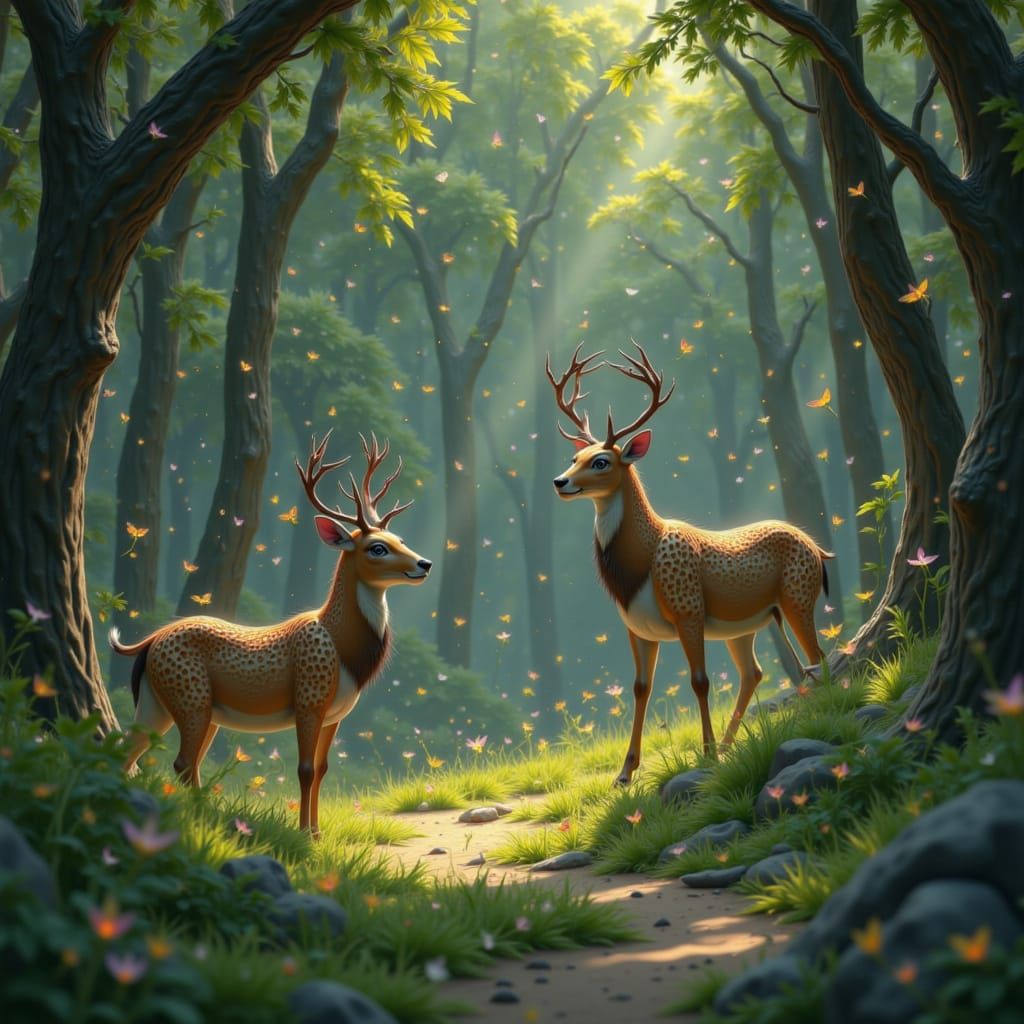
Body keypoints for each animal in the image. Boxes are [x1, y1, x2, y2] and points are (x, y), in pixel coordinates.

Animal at [110, 432, 432, 836]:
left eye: (398, 538)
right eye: (377, 547)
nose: (424, 563)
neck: (343, 649)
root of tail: (150, 640)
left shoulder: (336, 714)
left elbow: (323, 769)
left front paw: (317, 831)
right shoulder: (309, 700)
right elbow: (305, 769)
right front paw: (305, 835)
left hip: (161, 701)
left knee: (137, 753)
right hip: (190, 697)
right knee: (181, 762)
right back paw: (200, 819)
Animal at [547, 341, 834, 785]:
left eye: (601, 462)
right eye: (576, 457)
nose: (560, 481)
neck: (640, 567)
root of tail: (818, 549)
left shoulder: (689, 610)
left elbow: (700, 682)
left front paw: (707, 755)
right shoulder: (636, 628)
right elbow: (640, 688)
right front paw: (625, 773)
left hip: (798, 596)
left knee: (818, 657)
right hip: (745, 625)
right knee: (755, 672)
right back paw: (733, 743)